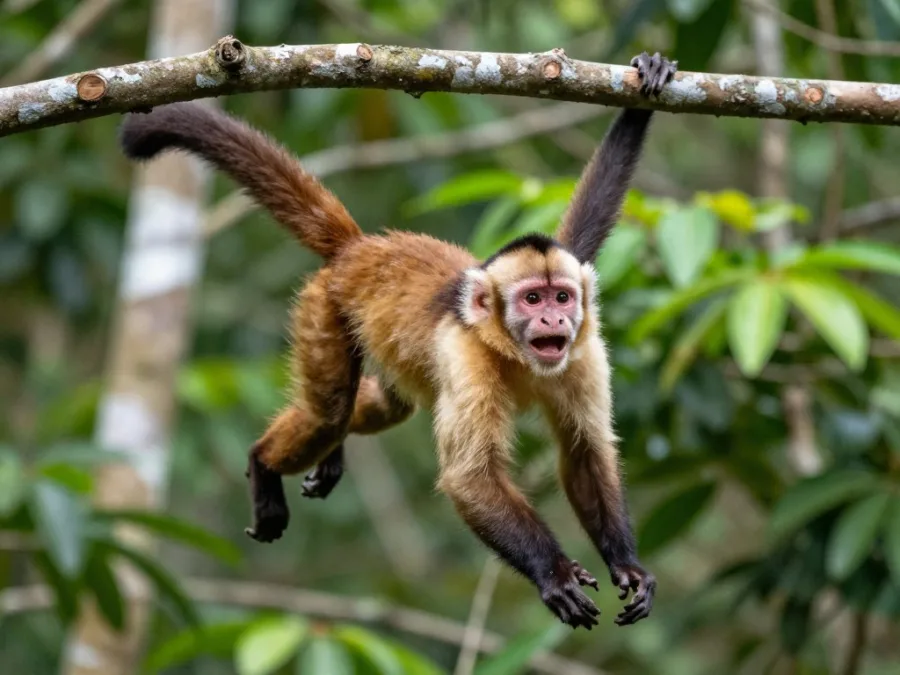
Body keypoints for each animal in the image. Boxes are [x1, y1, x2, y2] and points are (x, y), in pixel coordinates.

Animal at [118, 51, 677, 630]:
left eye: (562, 297)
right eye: (532, 300)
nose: (554, 322)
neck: (512, 352)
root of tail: (359, 248)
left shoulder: (586, 354)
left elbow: (585, 452)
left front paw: (627, 566)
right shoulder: (465, 354)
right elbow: (469, 479)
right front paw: (555, 575)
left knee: (383, 406)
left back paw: (331, 453)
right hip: (325, 305)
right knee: (329, 410)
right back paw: (265, 464)